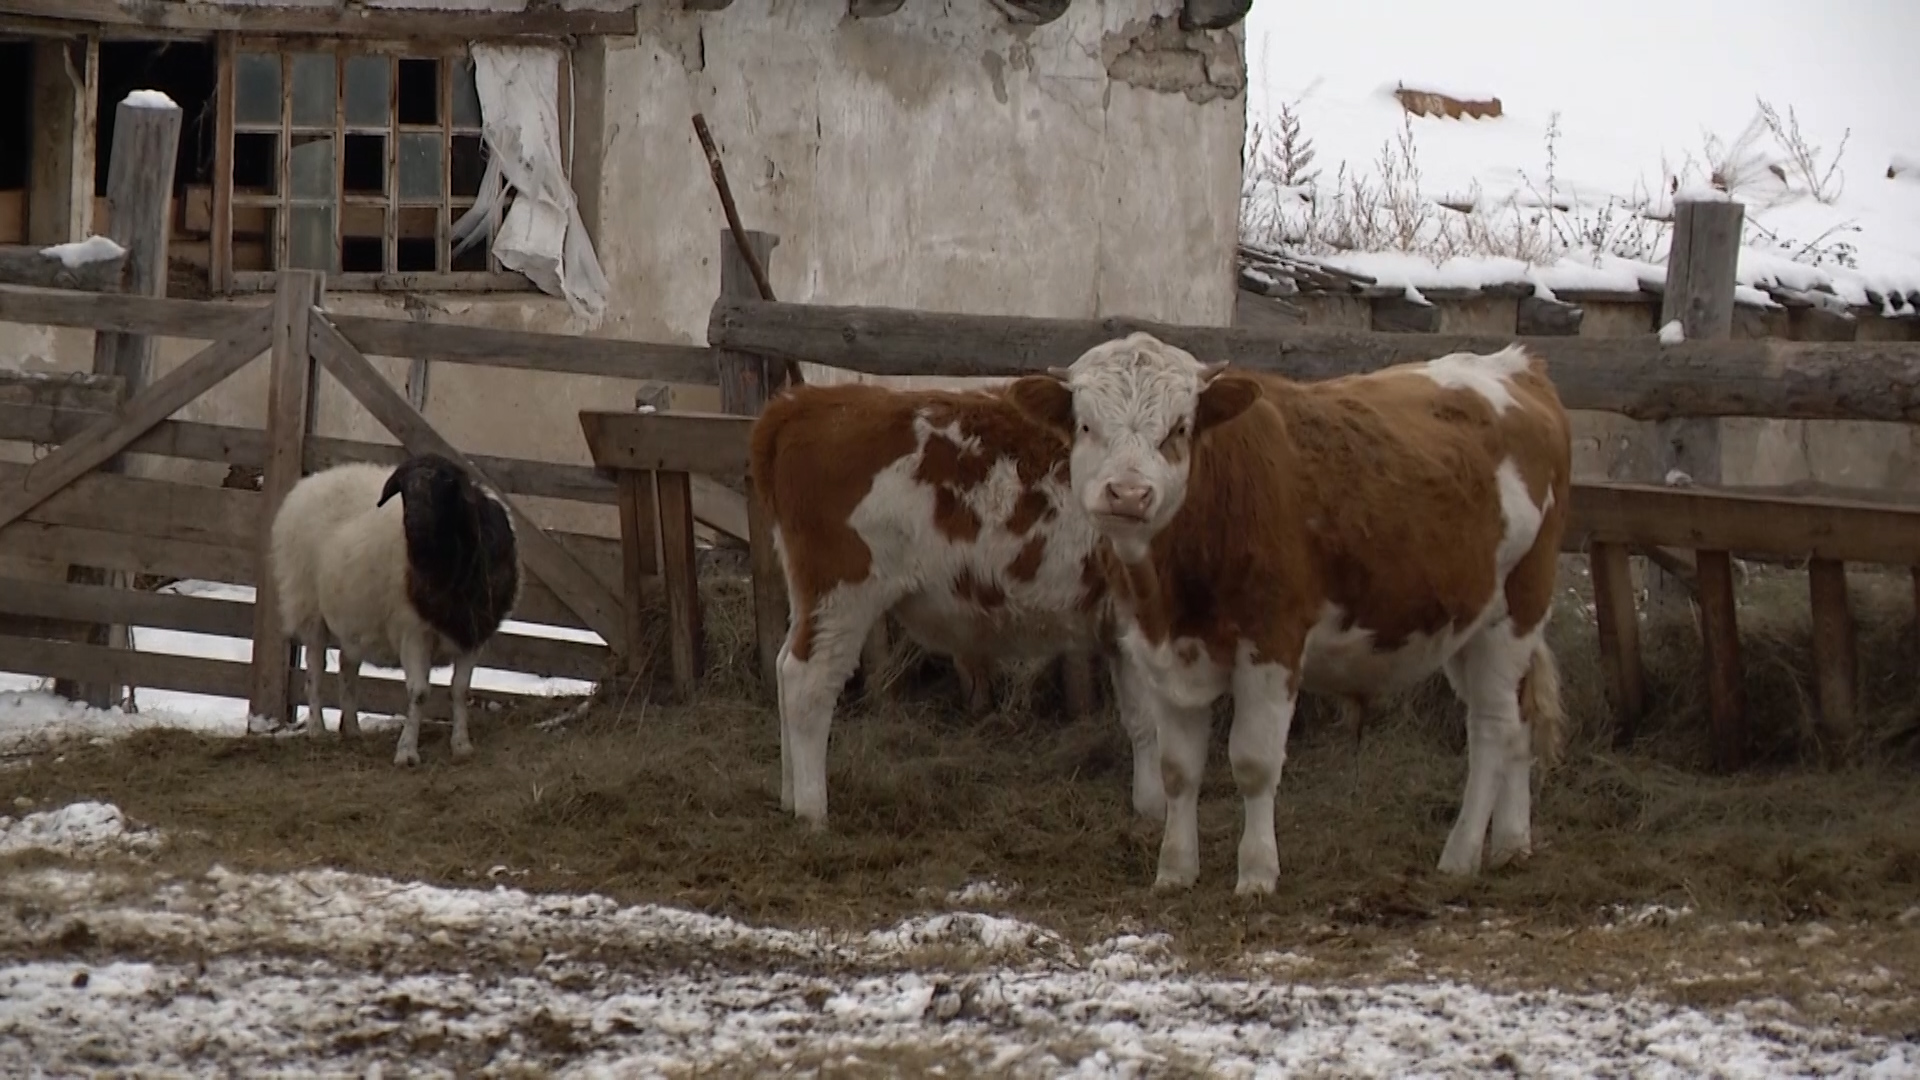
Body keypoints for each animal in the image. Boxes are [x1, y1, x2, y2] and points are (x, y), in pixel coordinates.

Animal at [264, 449, 518, 760]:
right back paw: (317, 729)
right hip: (308, 606)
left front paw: (461, 745)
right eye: (404, 490)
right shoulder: (412, 632)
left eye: (445, 484)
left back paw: (352, 728)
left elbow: (460, 691)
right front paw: (407, 751)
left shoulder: (473, 633)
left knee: (347, 665)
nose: (414, 524)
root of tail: (309, 483)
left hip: (355, 618)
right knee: (315, 668)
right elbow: (419, 692)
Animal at [1006, 334, 1574, 891]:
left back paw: (1461, 854)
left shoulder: (1271, 645)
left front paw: (1257, 874)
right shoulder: (1162, 654)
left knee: (1493, 729)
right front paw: (1175, 870)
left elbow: (1253, 764)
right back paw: (1511, 845)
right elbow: (1177, 770)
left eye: (1179, 428)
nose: (1128, 493)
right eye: (1085, 424)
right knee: (1519, 722)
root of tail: (1518, 366)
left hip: (1516, 611)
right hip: (1468, 625)